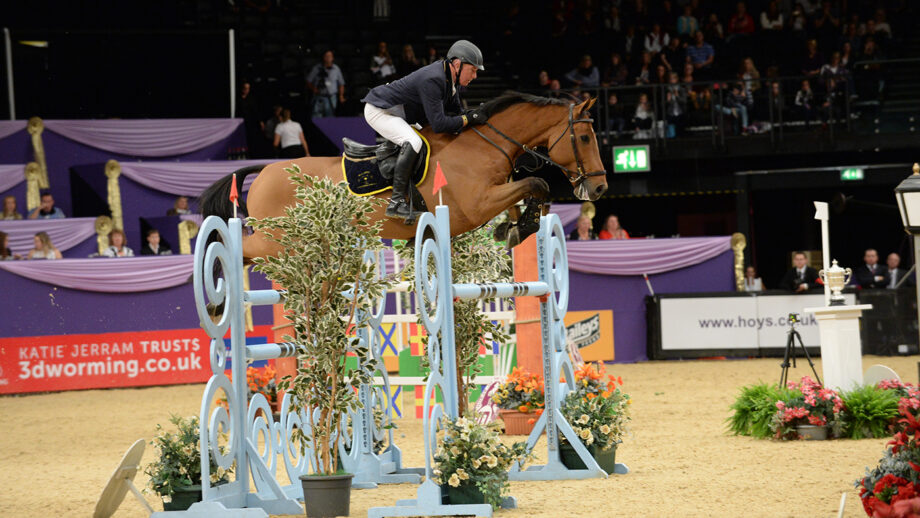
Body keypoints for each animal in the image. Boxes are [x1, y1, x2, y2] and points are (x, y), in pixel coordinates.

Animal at [198, 90, 608, 264]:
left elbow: (535, 191)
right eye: (586, 137)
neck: (482, 144)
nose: (601, 187)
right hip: (277, 238)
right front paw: (516, 229)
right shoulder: (475, 205)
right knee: (235, 248)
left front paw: (516, 227)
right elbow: (537, 183)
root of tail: (265, 169)